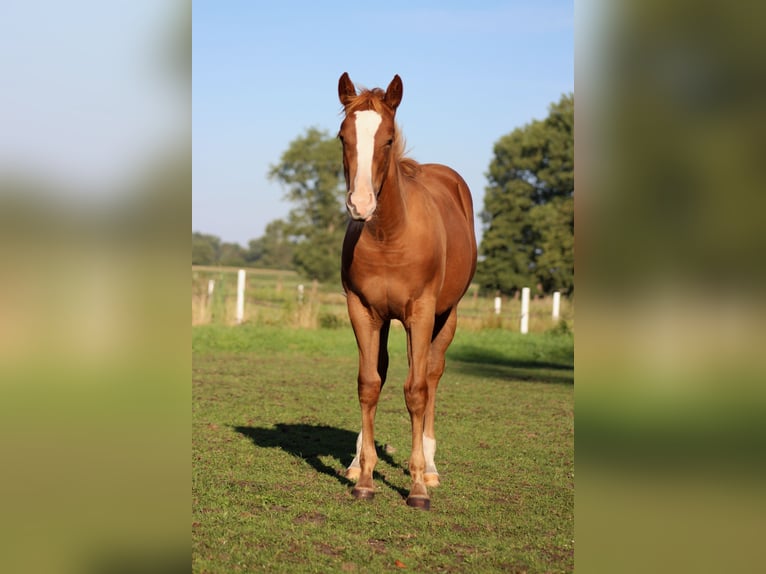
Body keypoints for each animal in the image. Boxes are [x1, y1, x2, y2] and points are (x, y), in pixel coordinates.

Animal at [337, 73, 477, 510]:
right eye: (343, 136)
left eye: (387, 139)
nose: (361, 204)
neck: (389, 234)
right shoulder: (362, 310)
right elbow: (369, 384)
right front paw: (365, 479)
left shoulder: (421, 311)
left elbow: (416, 390)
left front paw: (416, 487)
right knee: (380, 372)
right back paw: (356, 463)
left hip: (445, 317)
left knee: (431, 375)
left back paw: (429, 469)